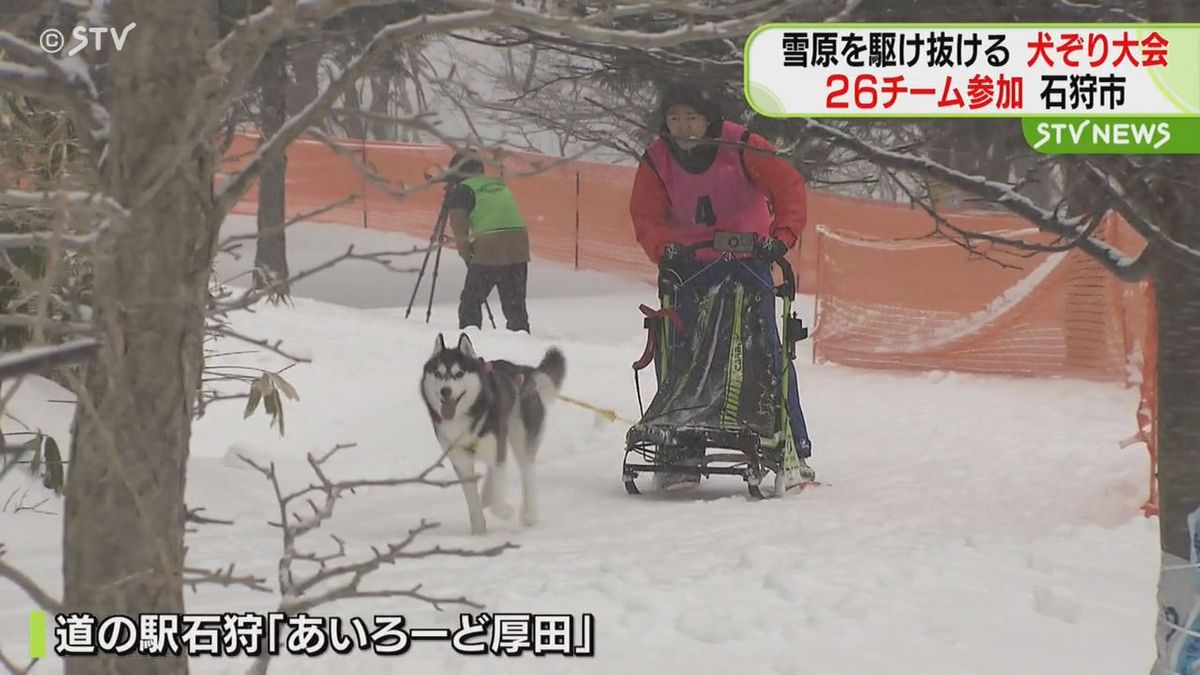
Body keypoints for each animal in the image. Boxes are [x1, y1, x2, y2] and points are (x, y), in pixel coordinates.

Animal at [422, 333, 566, 533]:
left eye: (459, 374)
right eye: (438, 374)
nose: (445, 391)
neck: (466, 417)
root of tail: (522, 370)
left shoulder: (496, 449)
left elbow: (498, 500)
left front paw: (506, 511)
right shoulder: (461, 460)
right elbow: (472, 499)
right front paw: (478, 530)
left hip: (520, 436)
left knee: (527, 471)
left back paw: (529, 515)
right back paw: (487, 495)